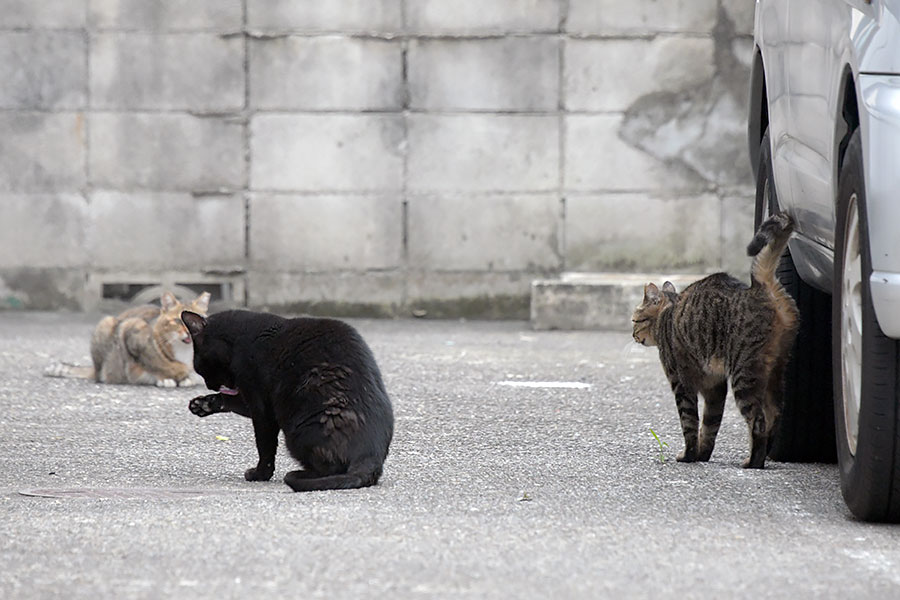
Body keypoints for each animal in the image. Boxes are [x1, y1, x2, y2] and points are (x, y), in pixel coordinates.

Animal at [45, 292, 209, 386]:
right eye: (177, 320)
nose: (190, 332)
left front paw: (185, 377)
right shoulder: (132, 332)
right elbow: (156, 364)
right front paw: (167, 377)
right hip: (106, 324)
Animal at [180, 310, 394, 492]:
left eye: (199, 367)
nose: (210, 386)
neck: (243, 339)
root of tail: (371, 455)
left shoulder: (261, 407)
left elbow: (265, 447)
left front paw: (259, 474)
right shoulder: (259, 402)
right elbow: (232, 401)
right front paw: (203, 404)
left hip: (298, 430)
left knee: (330, 468)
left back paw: (301, 474)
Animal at [628, 213, 800, 472]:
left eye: (634, 320)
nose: (632, 335)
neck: (668, 314)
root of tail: (759, 286)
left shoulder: (682, 383)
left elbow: (689, 423)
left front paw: (689, 455)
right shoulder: (715, 386)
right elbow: (710, 425)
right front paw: (702, 454)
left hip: (744, 375)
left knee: (758, 421)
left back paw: (754, 462)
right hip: (775, 371)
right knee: (774, 415)